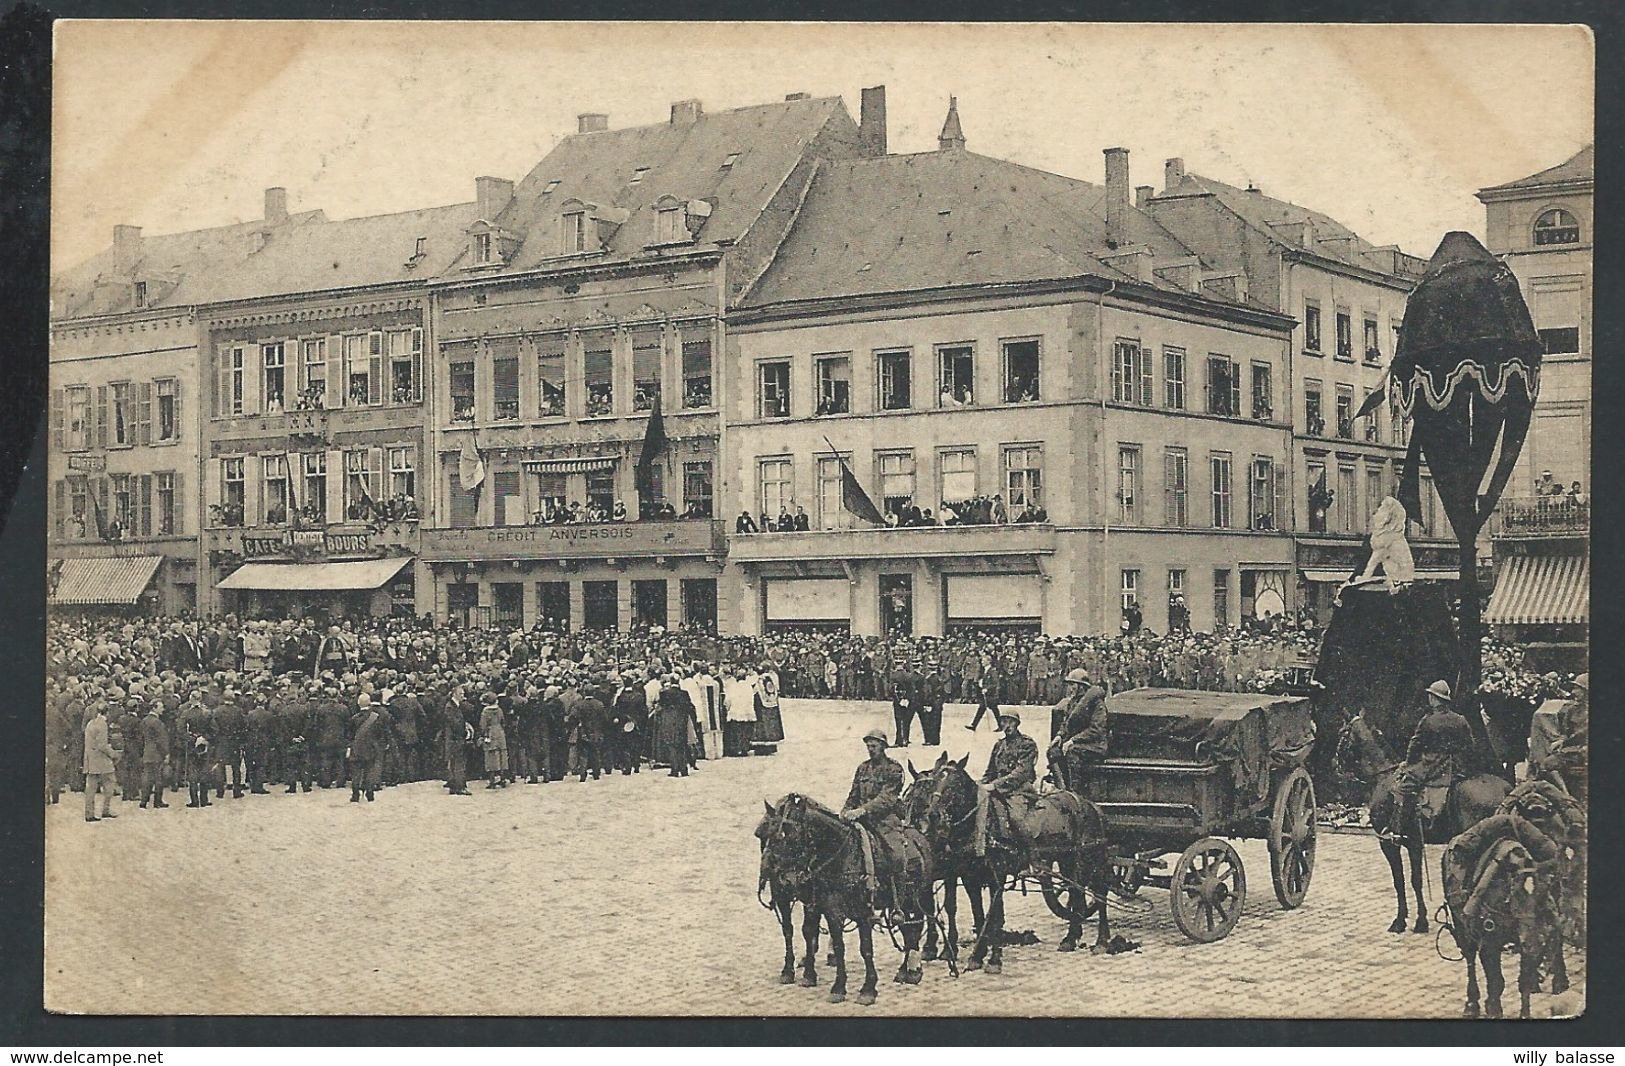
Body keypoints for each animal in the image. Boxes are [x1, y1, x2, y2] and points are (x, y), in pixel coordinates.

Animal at [757, 789, 936, 1007]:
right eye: (762, 835)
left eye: (790, 836)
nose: (782, 878)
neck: (841, 858)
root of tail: (919, 837)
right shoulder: (828, 910)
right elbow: (831, 943)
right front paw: (837, 987)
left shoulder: (862, 913)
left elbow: (865, 949)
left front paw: (868, 990)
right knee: (907, 930)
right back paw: (904, 971)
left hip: (914, 900)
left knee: (914, 929)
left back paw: (912, 972)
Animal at [910, 750, 1111, 968]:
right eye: (934, 782)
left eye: (953, 785)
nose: (933, 815)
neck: (980, 825)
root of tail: (1091, 805)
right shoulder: (969, 877)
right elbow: (978, 913)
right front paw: (978, 955)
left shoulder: (996, 876)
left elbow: (994, 916)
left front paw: (993, 959)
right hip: (1068, 859)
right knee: (1076, 892)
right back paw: (1071, 938)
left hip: (1091, 858)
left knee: (1100, 892)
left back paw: (1102, 941)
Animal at [1339, 711, 1501, 936]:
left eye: (1342, 732)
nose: (1335, 763)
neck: (1383, 778)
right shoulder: (1413, 843)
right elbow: (1413, 881)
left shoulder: (1390, 842)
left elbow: (1403, 881)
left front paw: (1405, 921)